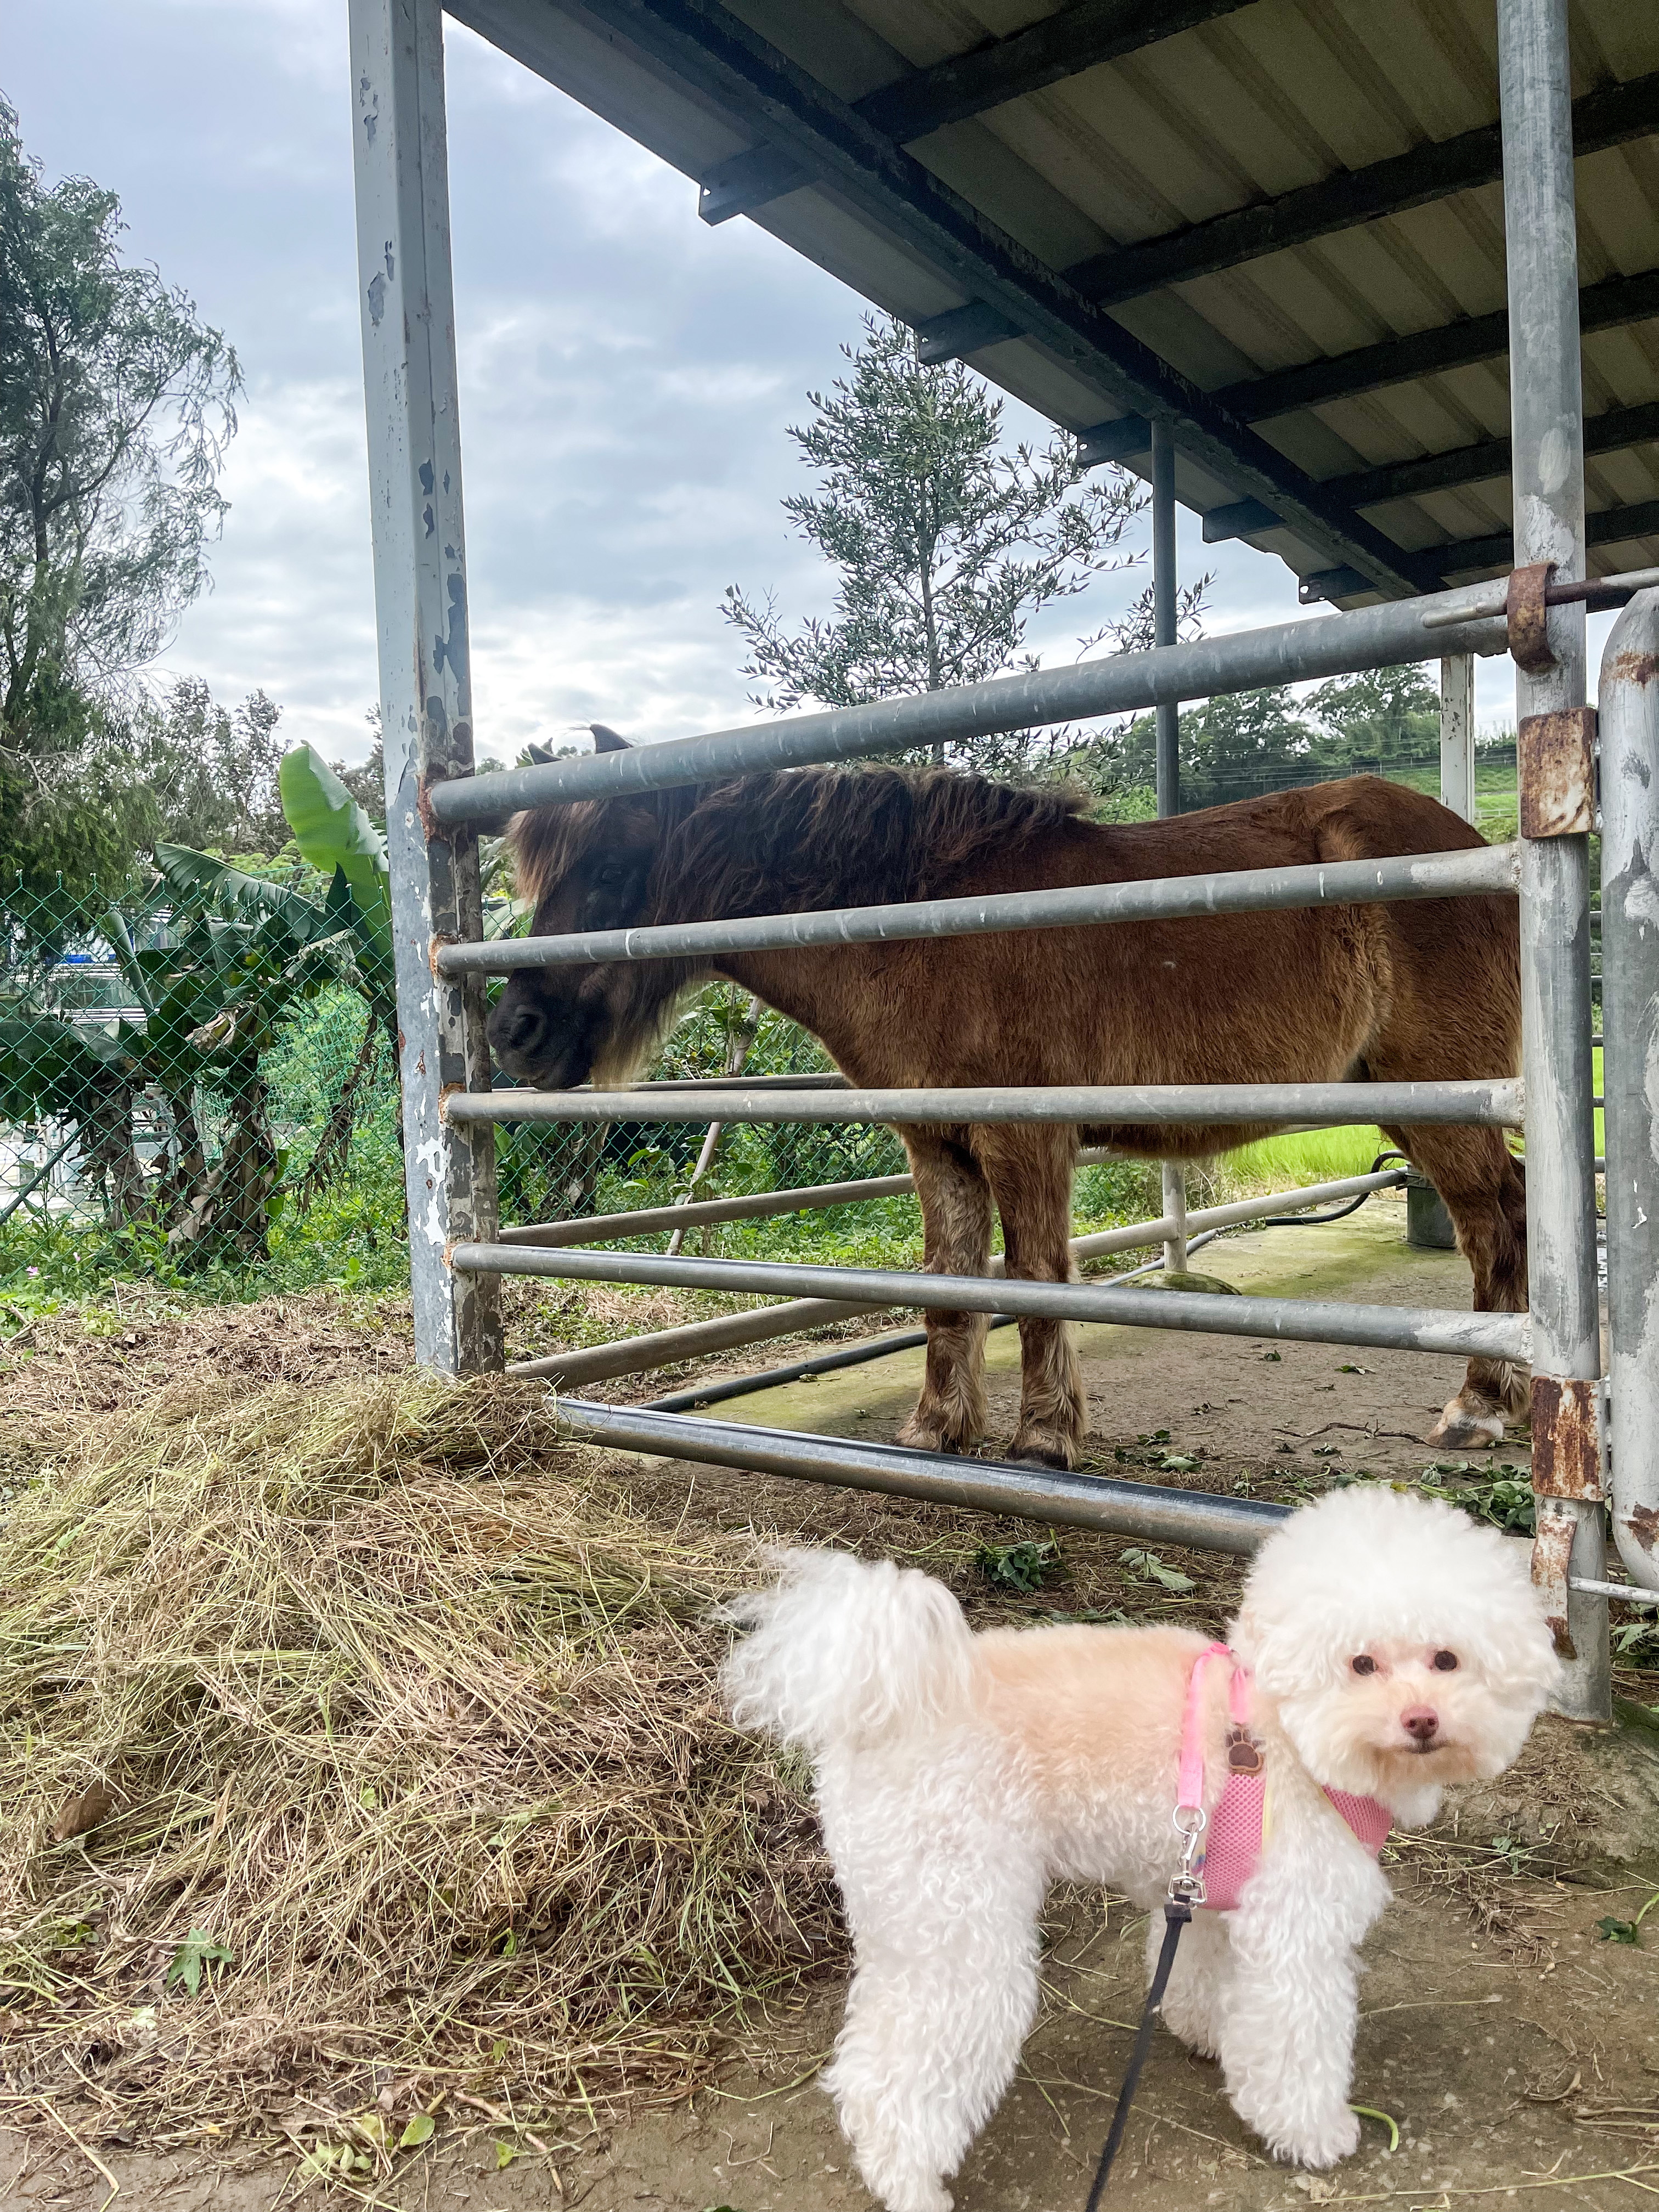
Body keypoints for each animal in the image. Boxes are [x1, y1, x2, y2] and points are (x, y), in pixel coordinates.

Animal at [487, 734, 1531, 1477]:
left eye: (612, 875)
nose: (515, 1032)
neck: (919, 926)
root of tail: (1482, 852)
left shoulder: (1023, 1139)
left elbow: (1033, 1280)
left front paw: (1042, 1439)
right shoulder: (937, 1145)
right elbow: (949, 1285)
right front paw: (935, 1432)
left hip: (1441, 1102)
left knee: (1495, 1220)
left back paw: (1479, 1406)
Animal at [725, 1486, 1557, 2212]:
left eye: (1447, 1660)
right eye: (1361, 1664)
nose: (1421, 1720)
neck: (1285, 1735)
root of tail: (880, 1708)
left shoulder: (1208, 1893)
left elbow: (1199, 1971)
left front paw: (1206, 2033)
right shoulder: (1298, 1928)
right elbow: (1297, 2041)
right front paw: (1314, 2132)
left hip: (910, 1915)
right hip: (961, 1923)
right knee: (895, 2076)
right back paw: (910, 2186)